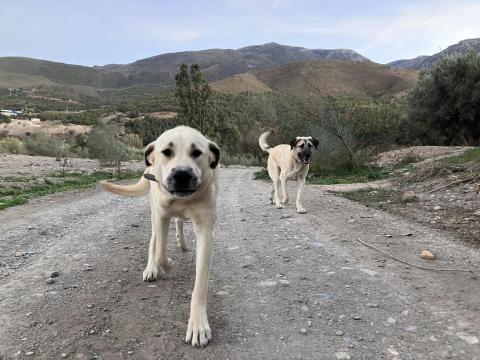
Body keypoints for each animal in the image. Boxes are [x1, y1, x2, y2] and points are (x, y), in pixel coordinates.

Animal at [102, 125, 222, 348]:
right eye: (166, 151)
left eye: (197, 152)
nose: (182, 174)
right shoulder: (161, 215)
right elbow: (160, 251)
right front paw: (166, 265)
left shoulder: (206, 231)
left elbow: (200, 286)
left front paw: (198, 325)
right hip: (153, 210)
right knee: (154, 241)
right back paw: (152, 267)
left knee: (179, 222)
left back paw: (182, 242)